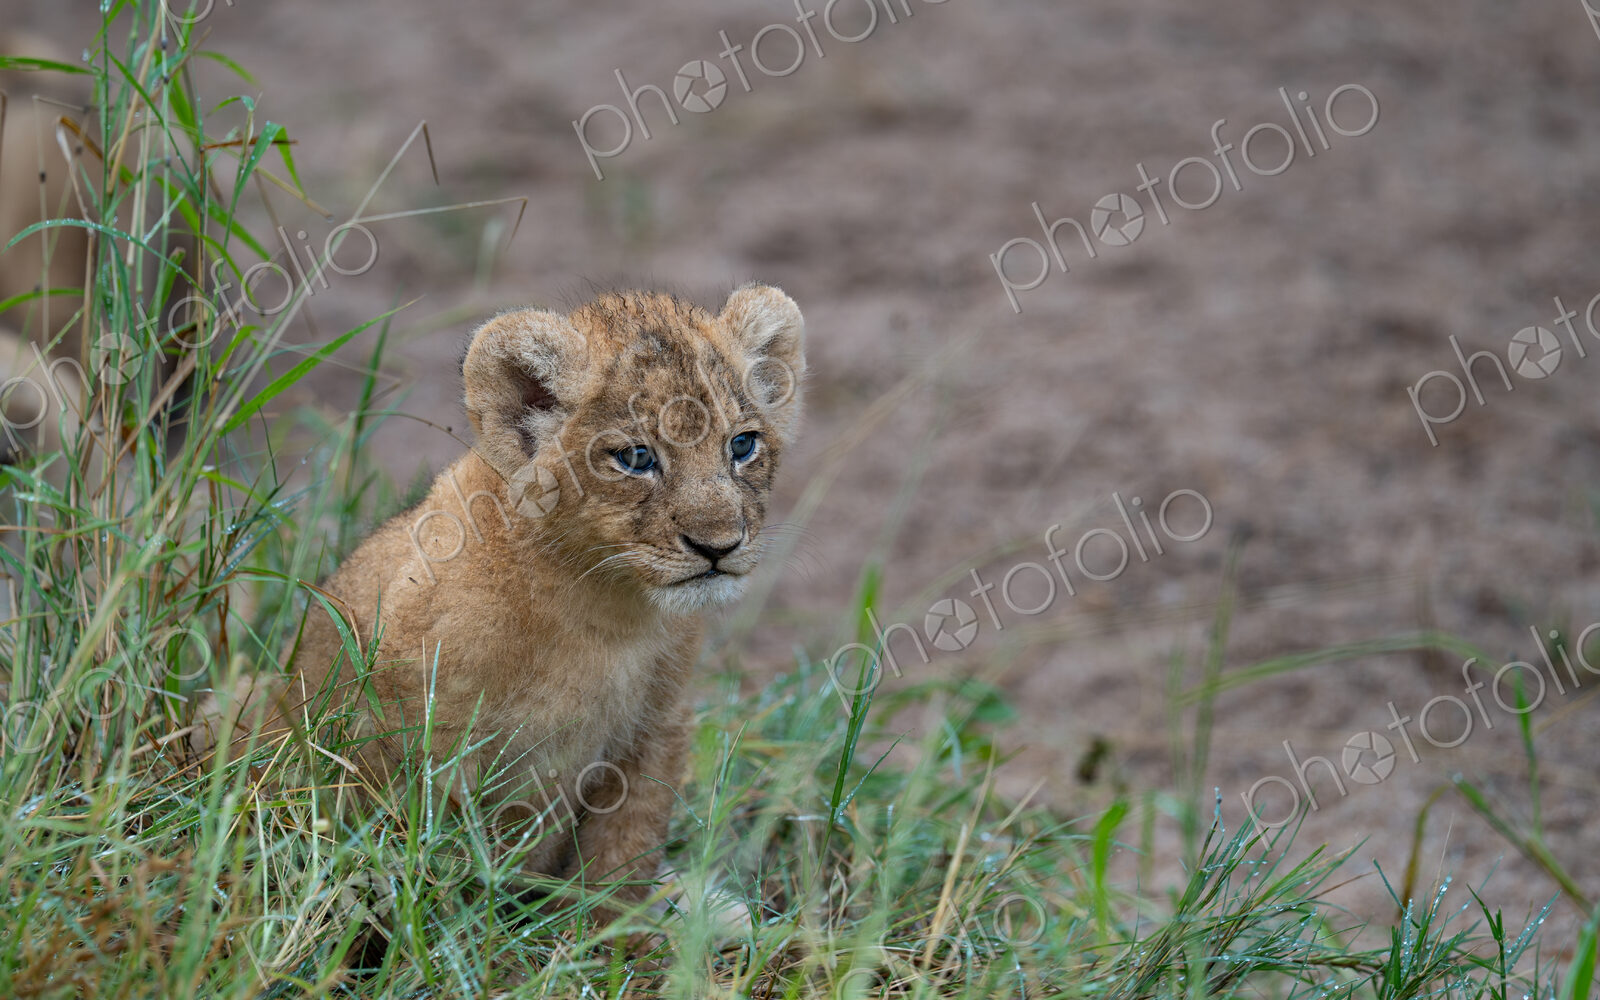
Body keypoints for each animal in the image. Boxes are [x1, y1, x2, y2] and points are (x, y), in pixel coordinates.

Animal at [204, 286, 805, 922]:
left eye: (742, 445)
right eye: (636, 458)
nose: (720, 545)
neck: (604, 609)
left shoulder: (656, 730)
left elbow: (622, 862)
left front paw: (613, 939)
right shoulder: (422, 740)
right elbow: (437, 867)